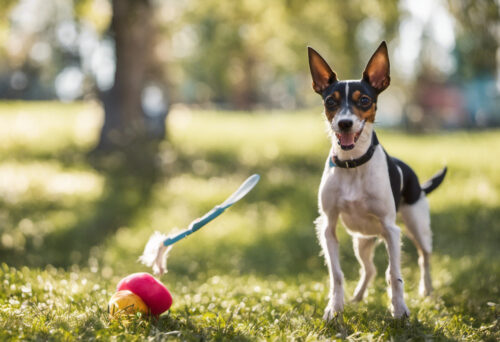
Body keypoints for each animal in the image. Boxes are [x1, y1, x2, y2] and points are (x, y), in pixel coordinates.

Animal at [306, 41, 448, 320]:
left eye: (364, 100)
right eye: (330, 101)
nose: (345, 123)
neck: (353, 164)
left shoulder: (392, 231)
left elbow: (394, 275)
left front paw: (400, 311)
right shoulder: (328, 227)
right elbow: (336, 274)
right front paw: (334, 309)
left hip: (417, 227)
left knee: (424, 258)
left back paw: (426, 290)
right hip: (362, 240)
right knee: (369, 269)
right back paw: (357, 297)